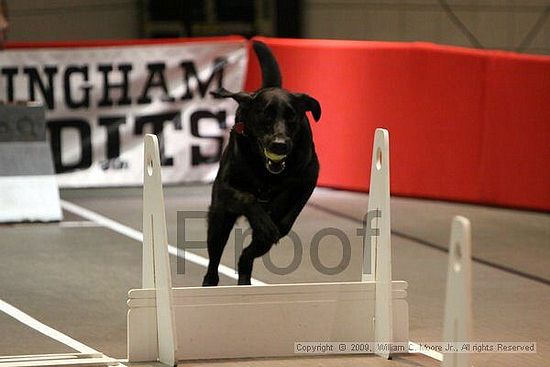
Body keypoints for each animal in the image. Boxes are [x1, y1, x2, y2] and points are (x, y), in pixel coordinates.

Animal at [204, 41, 324, 288]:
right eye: (265, 116)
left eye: (291, 116)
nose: (279, 145)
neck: (266, 173)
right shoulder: (226, 186)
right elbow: (247, 197)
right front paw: (264, 220)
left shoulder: (309, 177)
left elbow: (288, 204)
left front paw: (274, 216)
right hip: (219, 220)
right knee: (214, 263)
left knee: (246, 255)